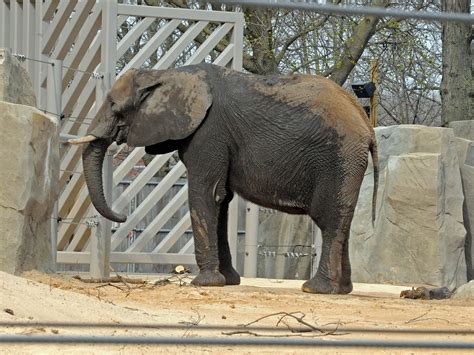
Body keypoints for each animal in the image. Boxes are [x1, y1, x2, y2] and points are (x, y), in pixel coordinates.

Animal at [70, 63, 380, 294]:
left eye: (114, 105)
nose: (123, 217)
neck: (166, 73)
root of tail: (367, 126)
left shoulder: (209, 132)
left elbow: (205, 193)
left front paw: (204, 283)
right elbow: (222, 200)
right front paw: (228, 281)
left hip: (338, 158)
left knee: (329, 220)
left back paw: (316, 288)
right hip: (347, 162)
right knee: (342, 220)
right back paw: (342, 289)